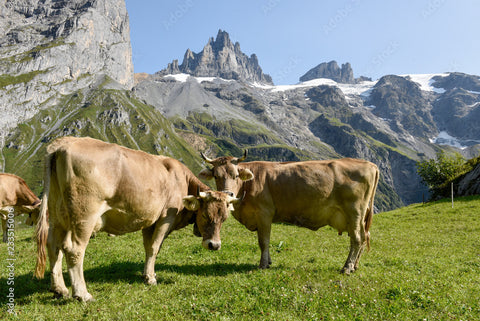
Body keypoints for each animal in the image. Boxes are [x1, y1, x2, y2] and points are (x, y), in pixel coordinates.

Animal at [32, 136, 239, 302]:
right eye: (205, 214)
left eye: (224, 218)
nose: (214, 245)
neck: (181, 180)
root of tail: (63, 143)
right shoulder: (166, 217)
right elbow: (155, 247)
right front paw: (151, 278)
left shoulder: (149, 221)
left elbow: (148, 248)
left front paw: (146, 274)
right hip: (84, 216)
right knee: (74, 250)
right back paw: (82, 294)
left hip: (58, 215)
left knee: (53, 246)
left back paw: (59, 289)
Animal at [199, 151, 378, 274]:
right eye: (216, 176)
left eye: (236, 175)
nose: (227, 194)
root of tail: (370, 164)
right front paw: (269, 262)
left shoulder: (264, 214)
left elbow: (263, 241)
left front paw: (263, 264)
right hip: (360, 217)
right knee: (365, 237)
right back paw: (355, 266)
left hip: (354, 212)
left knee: (357, 239)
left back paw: (347, 267)